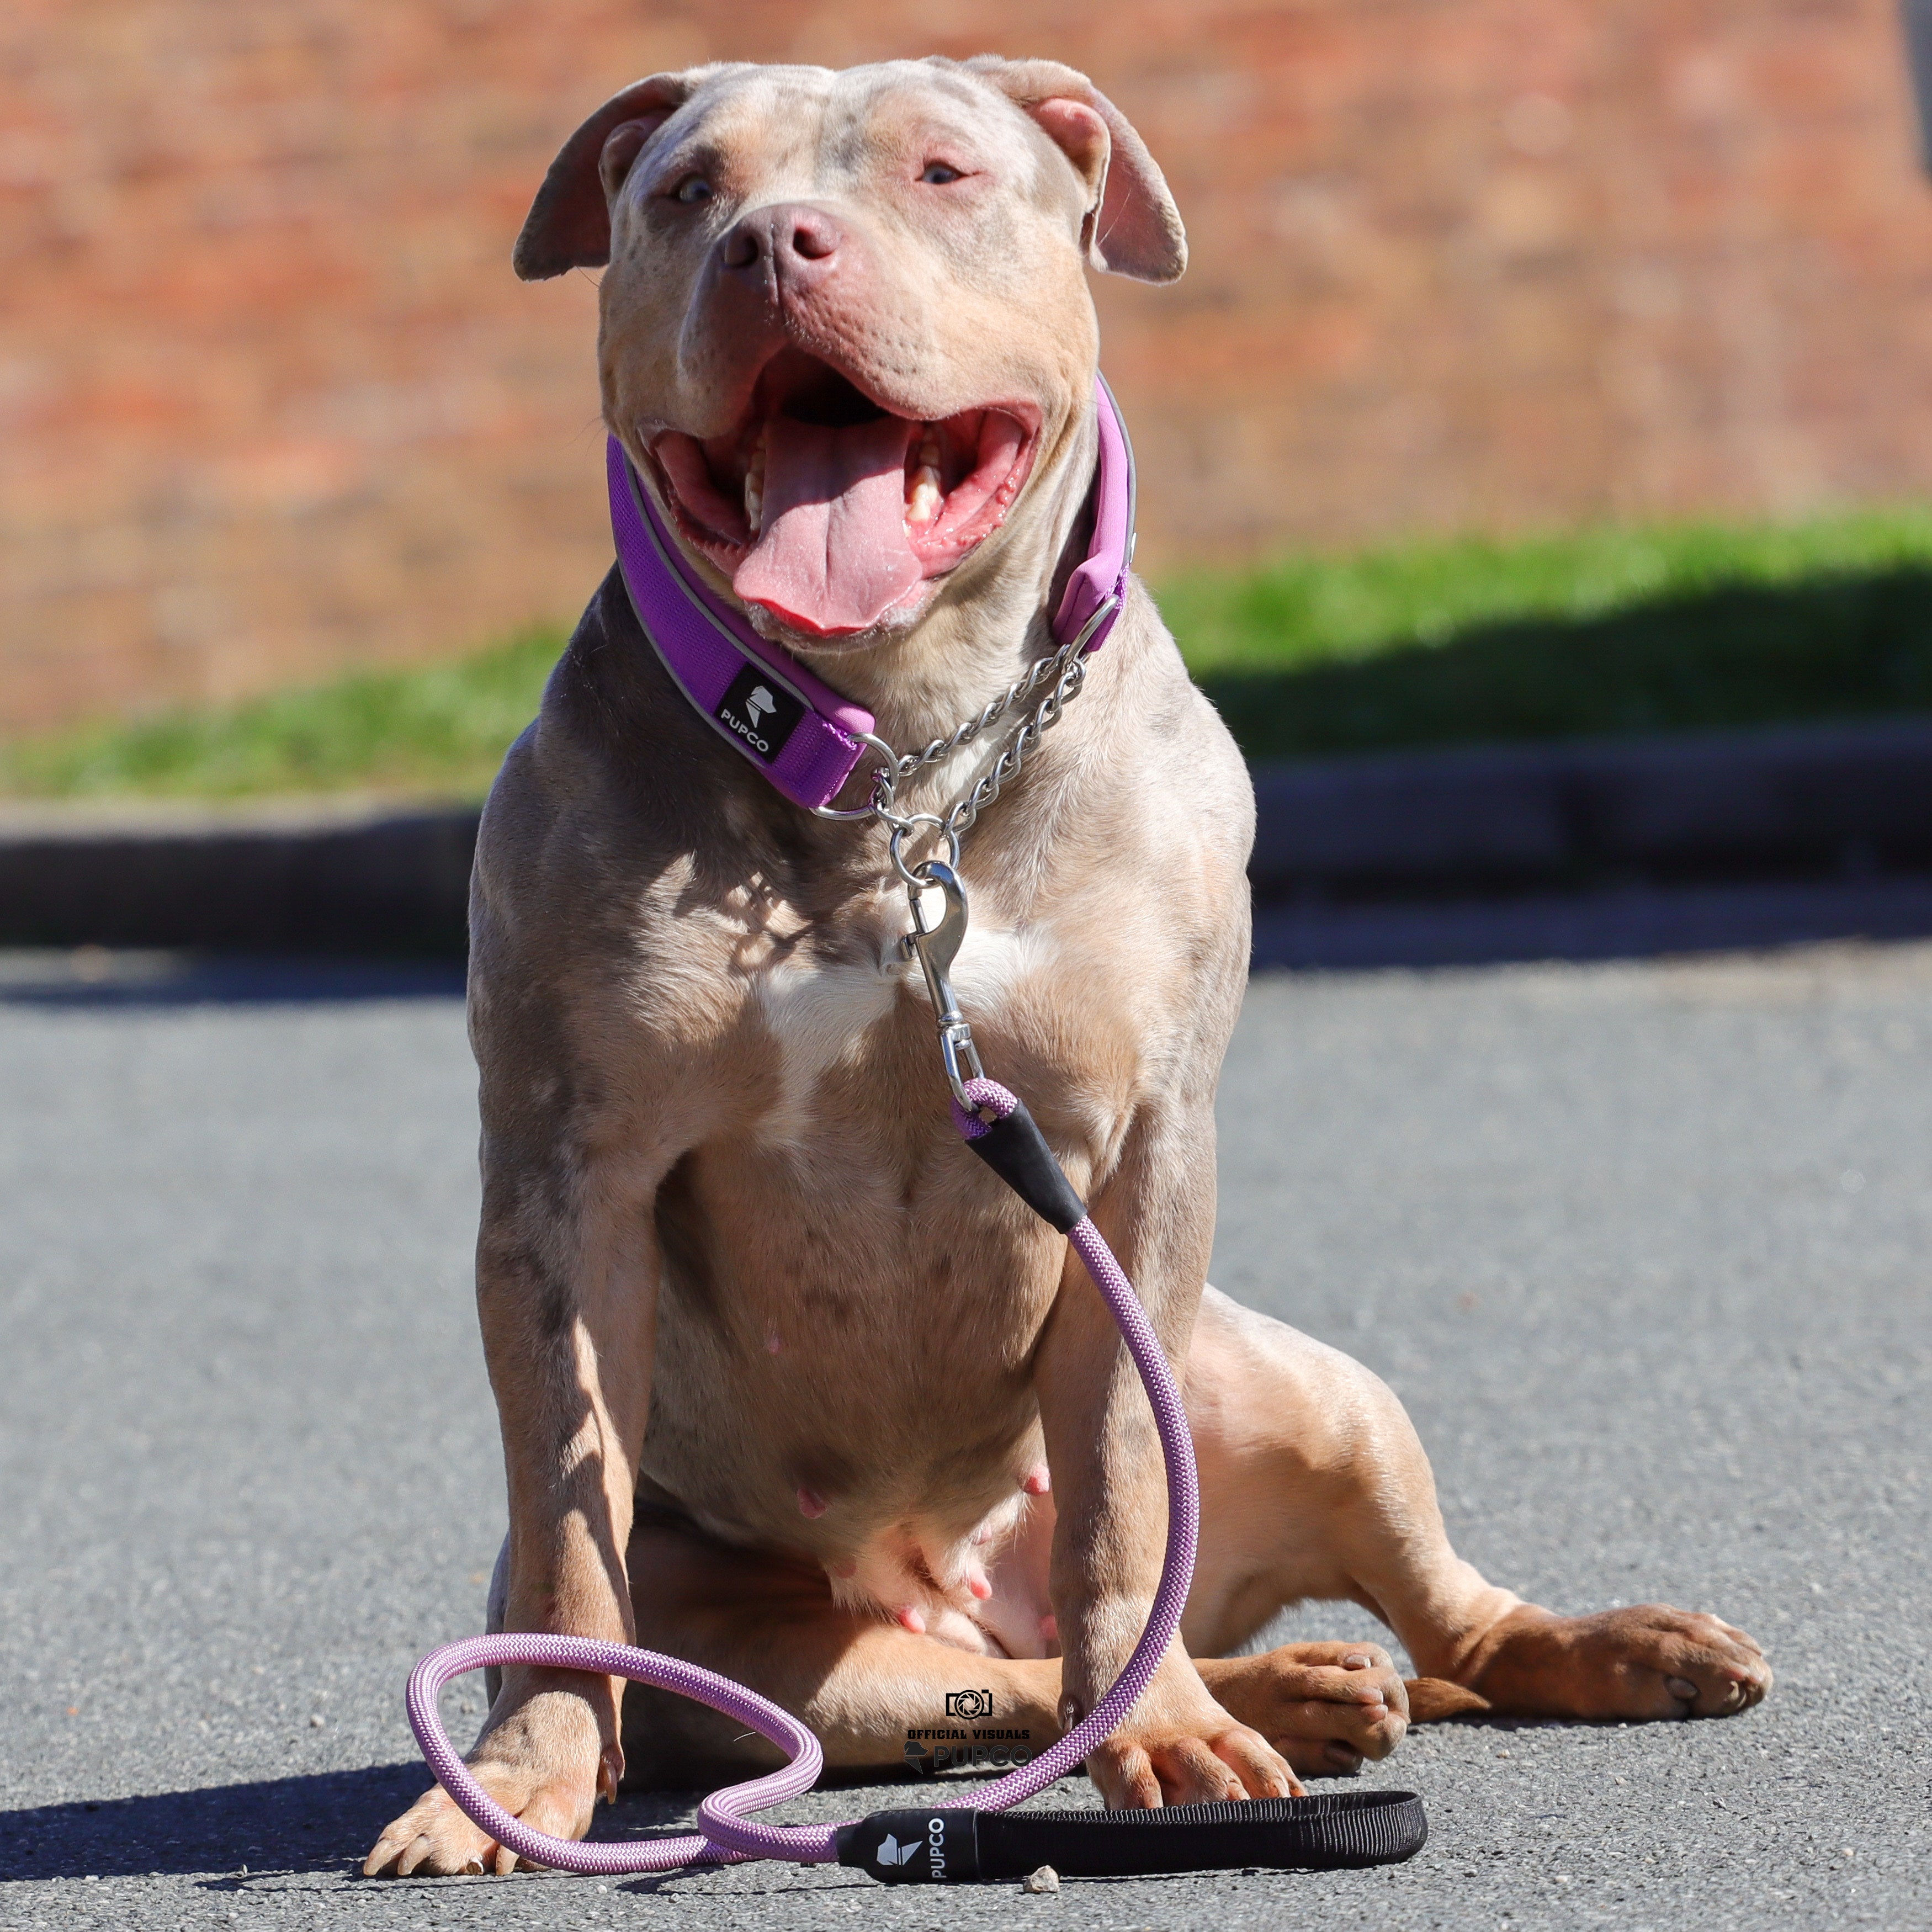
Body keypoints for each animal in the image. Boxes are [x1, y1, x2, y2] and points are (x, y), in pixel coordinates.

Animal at [359, 52, 1770, 1878]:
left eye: (942, 172)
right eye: (685, 191)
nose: (772, 244)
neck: (897, 751)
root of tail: (963, 1577)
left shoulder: (1143, 1150)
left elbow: (1113, 1486)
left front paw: (1165, 1735)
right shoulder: (561, 1177)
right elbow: (562, 1528)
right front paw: (514, 1777)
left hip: (1306, 1387)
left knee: (1403, 1606)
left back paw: (1541, 1653)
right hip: (792, 1657)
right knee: (994, 1685)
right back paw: (1291, 1686)